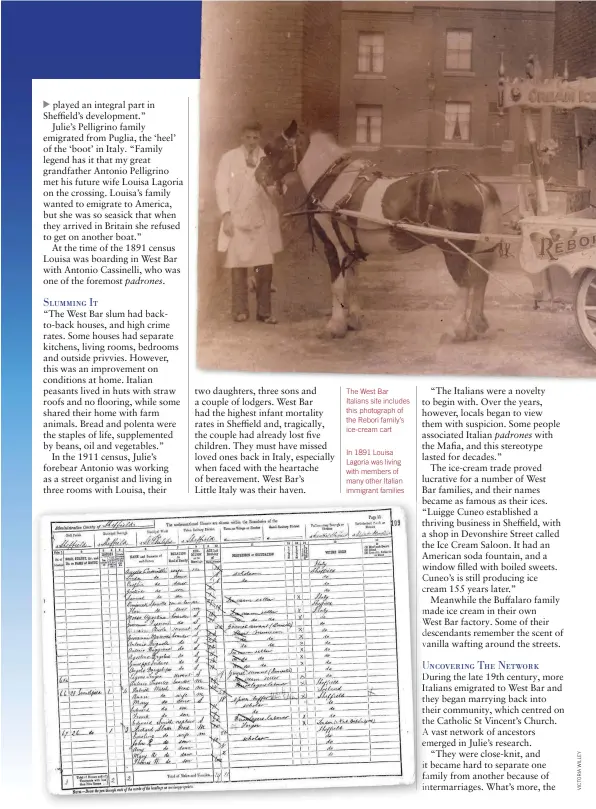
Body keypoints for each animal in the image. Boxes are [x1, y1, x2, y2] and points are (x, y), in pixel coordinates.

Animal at [255, 118, 502, 340]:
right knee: (481, 280)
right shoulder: (350, 248)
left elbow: (337, 286)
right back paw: (476, 323)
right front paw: (353, 320)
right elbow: (352, 282)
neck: (333, 181)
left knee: (465, 284)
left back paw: (457, 330)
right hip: (478, 248)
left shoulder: (333, 247)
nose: (258, 176)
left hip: (454, 250)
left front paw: (335, 326)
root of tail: (477, 184)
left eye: (271, 150)